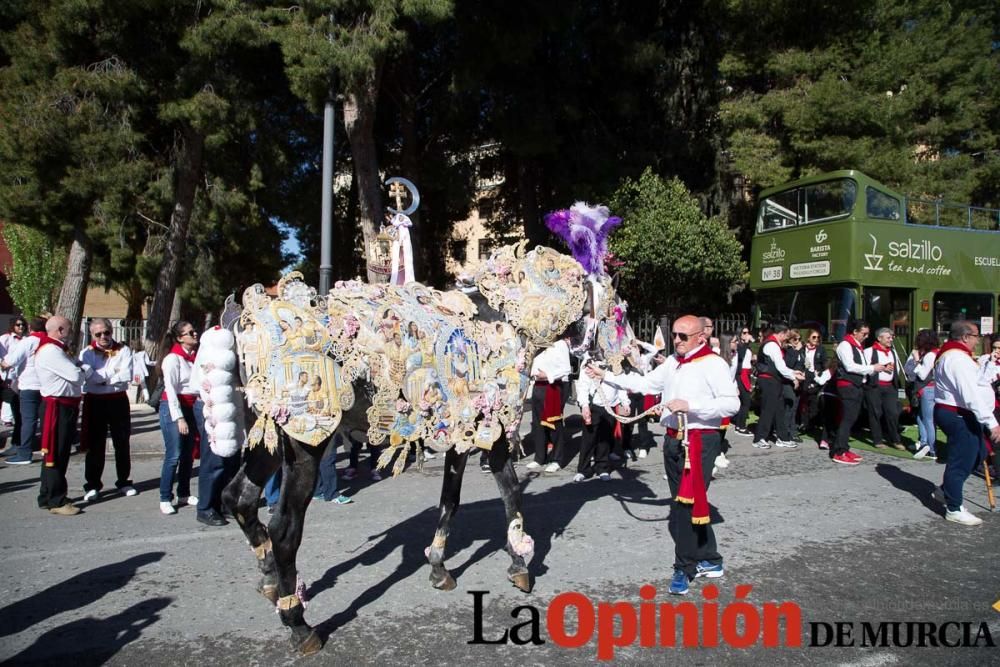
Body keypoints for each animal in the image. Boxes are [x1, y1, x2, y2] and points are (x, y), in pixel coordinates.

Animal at [221, 202, 632, 652]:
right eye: (619, 310)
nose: (625, 359)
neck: (503, 320)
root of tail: (248, 323)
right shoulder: (493, 431)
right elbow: (509, 490)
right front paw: (520, 564)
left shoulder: (460, 434)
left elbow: (449, 500)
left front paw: (439, 567)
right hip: (306, 443)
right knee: (283, 530)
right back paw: (299, 622)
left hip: (268, 439)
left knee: (239, 498)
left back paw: (272, 585)